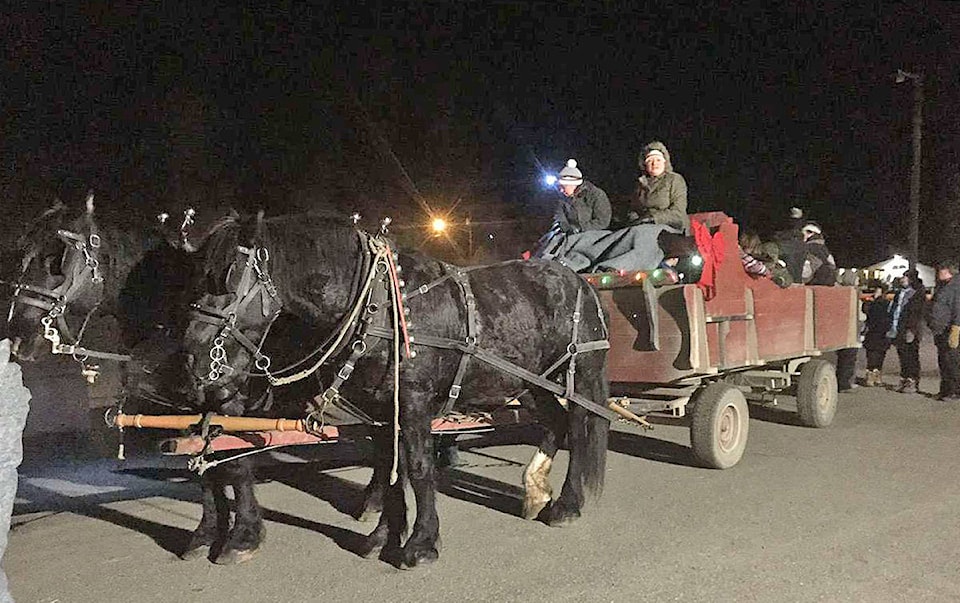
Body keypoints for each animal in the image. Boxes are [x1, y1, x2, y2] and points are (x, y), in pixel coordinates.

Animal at [184, 215, 612, 568]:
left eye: (227, 277)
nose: (192, 355)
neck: (380, 305)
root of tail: (580, 281)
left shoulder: (414, 402)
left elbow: (419, 469)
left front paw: (421, 544)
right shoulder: (381, 411)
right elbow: (389, 470)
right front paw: (382, 538)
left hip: (578, 376)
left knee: (579, 428)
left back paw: (566, 506)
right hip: (534, 381)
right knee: (555, 421)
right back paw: (536, 490)